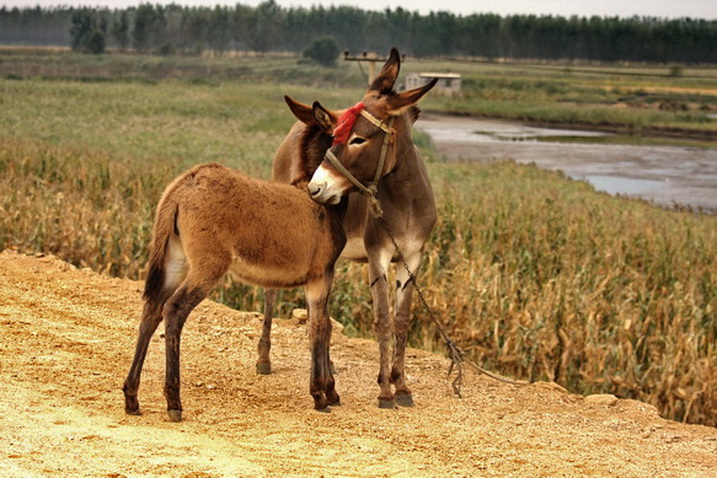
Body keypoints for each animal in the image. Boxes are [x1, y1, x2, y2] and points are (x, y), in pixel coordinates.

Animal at [121, 162, 346, 420]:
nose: (322, 190)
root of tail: (187, 182)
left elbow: (322, 326)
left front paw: (328, 391)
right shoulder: (321, 275)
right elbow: (320, 328)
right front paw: (321, 395)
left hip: (175, 260)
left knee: (152, 311)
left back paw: (131, 398)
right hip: (208, 267)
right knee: (175, 310)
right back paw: (174, 401)